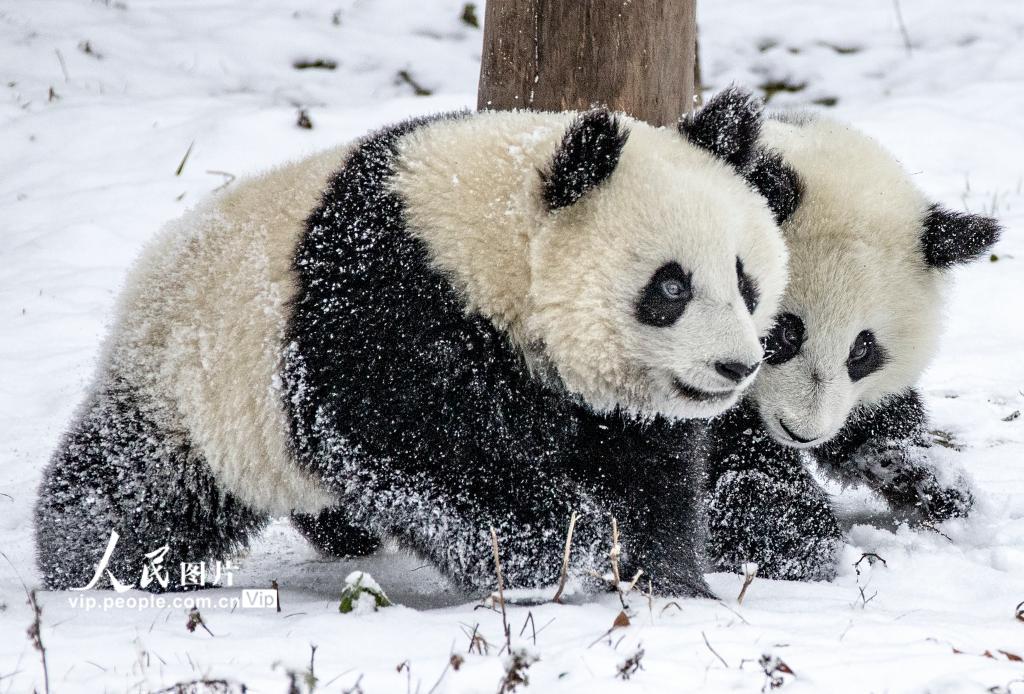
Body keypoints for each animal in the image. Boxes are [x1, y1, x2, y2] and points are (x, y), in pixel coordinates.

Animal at [36, 87, 790, 597]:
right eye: (671, 287)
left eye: (745, 280)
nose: (736, 365)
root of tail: (163, 248)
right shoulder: (388, 302)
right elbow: (406, 443)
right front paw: (551, 547)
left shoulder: (598, 401)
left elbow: (645, 471)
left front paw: (664, 578)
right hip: (191, 375)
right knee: (136, 482)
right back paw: (92, 562)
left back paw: (345, 533)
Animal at [704, 114, 999, 581]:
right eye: (785, 332)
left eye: (862, 350)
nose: (801, 432)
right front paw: (796, 543)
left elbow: (878, 428)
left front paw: (935, 487)